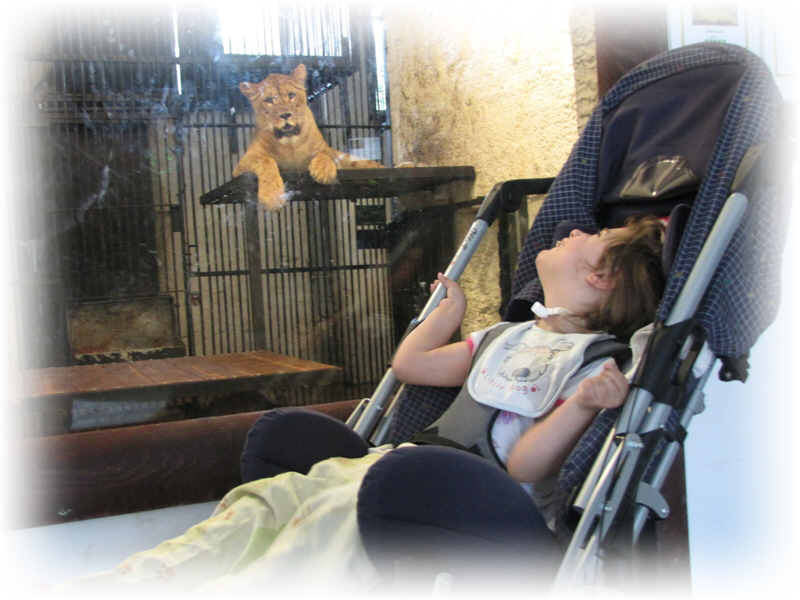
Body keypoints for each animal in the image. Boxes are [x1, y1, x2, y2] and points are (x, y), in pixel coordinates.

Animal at [233, 64, 385, 210]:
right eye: (268, 100)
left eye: (291, 95)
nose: (285, 115)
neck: (289, 144)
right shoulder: (241, 165)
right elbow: (265, 161)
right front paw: (272, 197)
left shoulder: (326, 151)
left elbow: (325, 153)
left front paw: (323, 170)